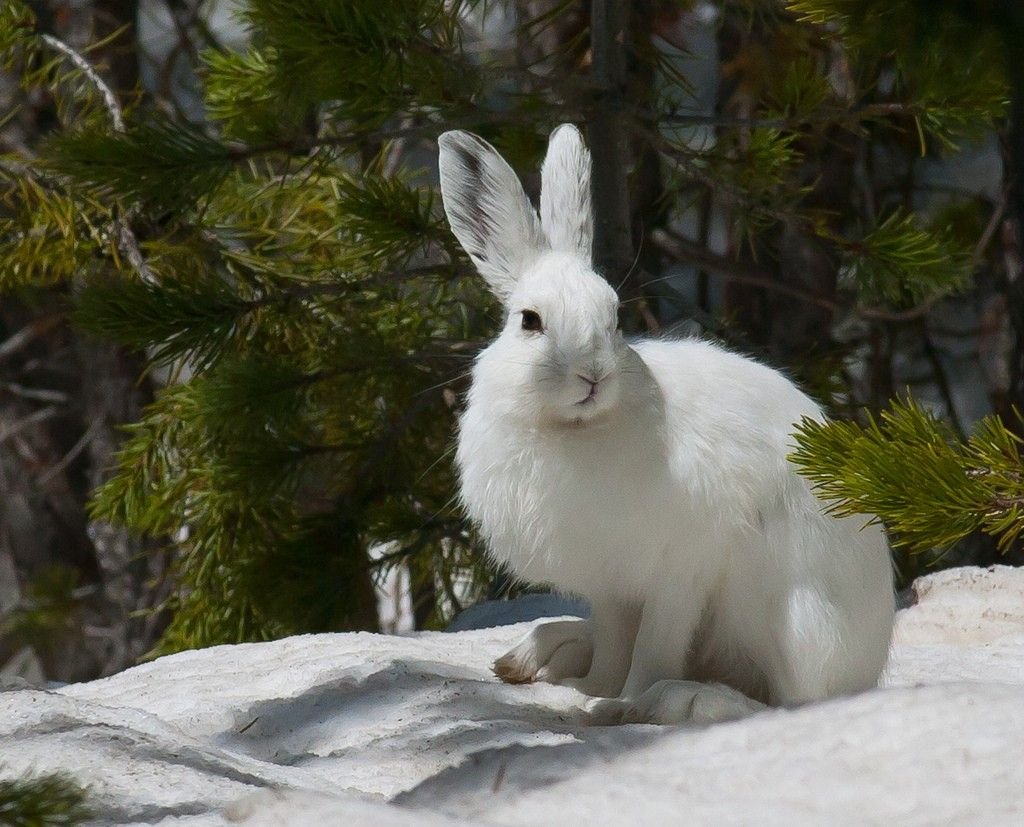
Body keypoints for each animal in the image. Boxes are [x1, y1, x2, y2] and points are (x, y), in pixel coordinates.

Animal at [437, 124, 895, 724]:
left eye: (613, 317)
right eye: (529, 322)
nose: (593, 374)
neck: (574, 431)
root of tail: (872, 656)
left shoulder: (680, 572)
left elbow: (653, 648)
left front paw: (616, 704)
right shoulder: (610, 586)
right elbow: (613, 646)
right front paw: (590, 690)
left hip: (794, 615)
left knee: (792, 701)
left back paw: (678, 698)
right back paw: (539, 653)